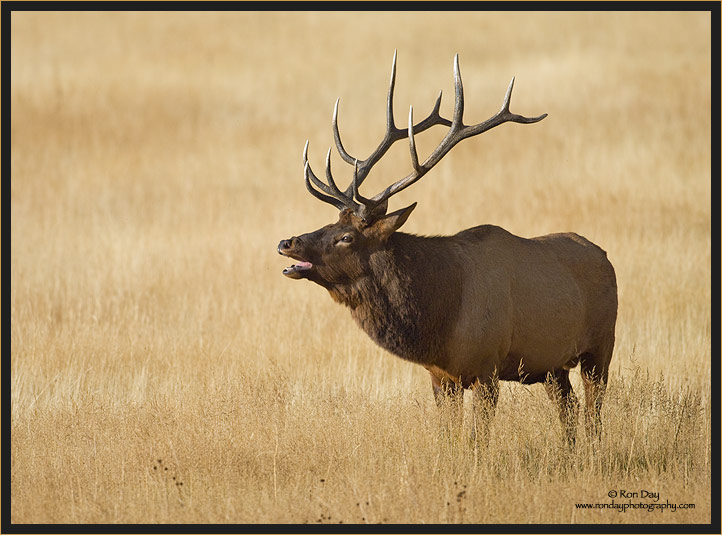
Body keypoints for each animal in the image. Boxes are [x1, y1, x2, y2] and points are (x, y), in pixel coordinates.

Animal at [276, 52, 612, 446]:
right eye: (329, 223)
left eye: (346, 237)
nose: (287, 242)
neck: (440, 319)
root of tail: (605, 256)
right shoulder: (440, 376)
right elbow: (449, 437)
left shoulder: (487, 367)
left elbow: (478, 439)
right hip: (551, 365)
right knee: (568, 408)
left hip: (600, 346)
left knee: (593, 411)